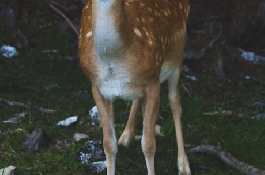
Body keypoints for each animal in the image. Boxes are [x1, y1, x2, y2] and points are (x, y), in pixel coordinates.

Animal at [78, 0, 190, 174]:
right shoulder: (97, 87)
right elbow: (109, 144)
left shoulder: (153, 81)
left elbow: (149, 144)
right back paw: (126, 136)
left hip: (177, 56)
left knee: (175, 102)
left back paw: (184, 165)